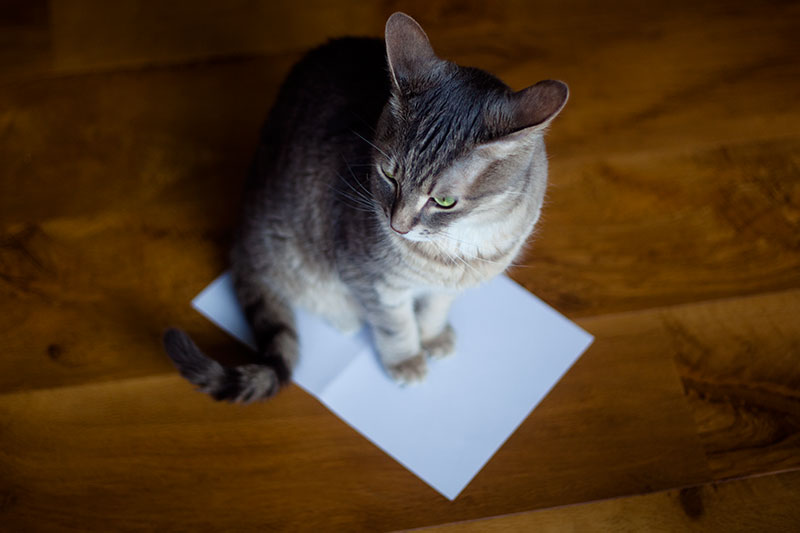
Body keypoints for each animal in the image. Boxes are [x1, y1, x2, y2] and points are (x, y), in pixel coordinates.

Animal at [164, 12, 568, 402]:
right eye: (388, 174)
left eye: (444, 201)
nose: (397, 225)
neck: (460, 247)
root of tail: (242, 238)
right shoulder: (371, 281)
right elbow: (396, 326)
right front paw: (407, 361)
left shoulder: (444, 288)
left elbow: (434, 311)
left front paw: (434, 336)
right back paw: (345, 317)